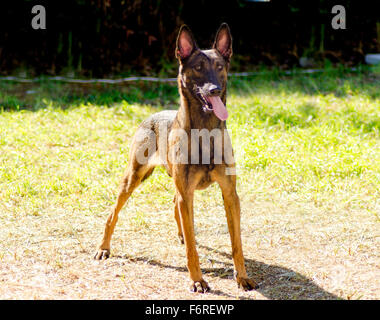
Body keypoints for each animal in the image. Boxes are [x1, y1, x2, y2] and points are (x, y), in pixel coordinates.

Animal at [93, 22, 256, 292]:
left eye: (219, 67)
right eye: (198, 67)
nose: (215, 90)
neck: (205, 131)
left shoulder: (230, 194)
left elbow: (236, 243)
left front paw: (241, 276)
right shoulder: (187, 193)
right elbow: (192, 248)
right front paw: (197, 279)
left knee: (174, 205)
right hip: (134, 177)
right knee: (113, 213)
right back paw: (103, 247)